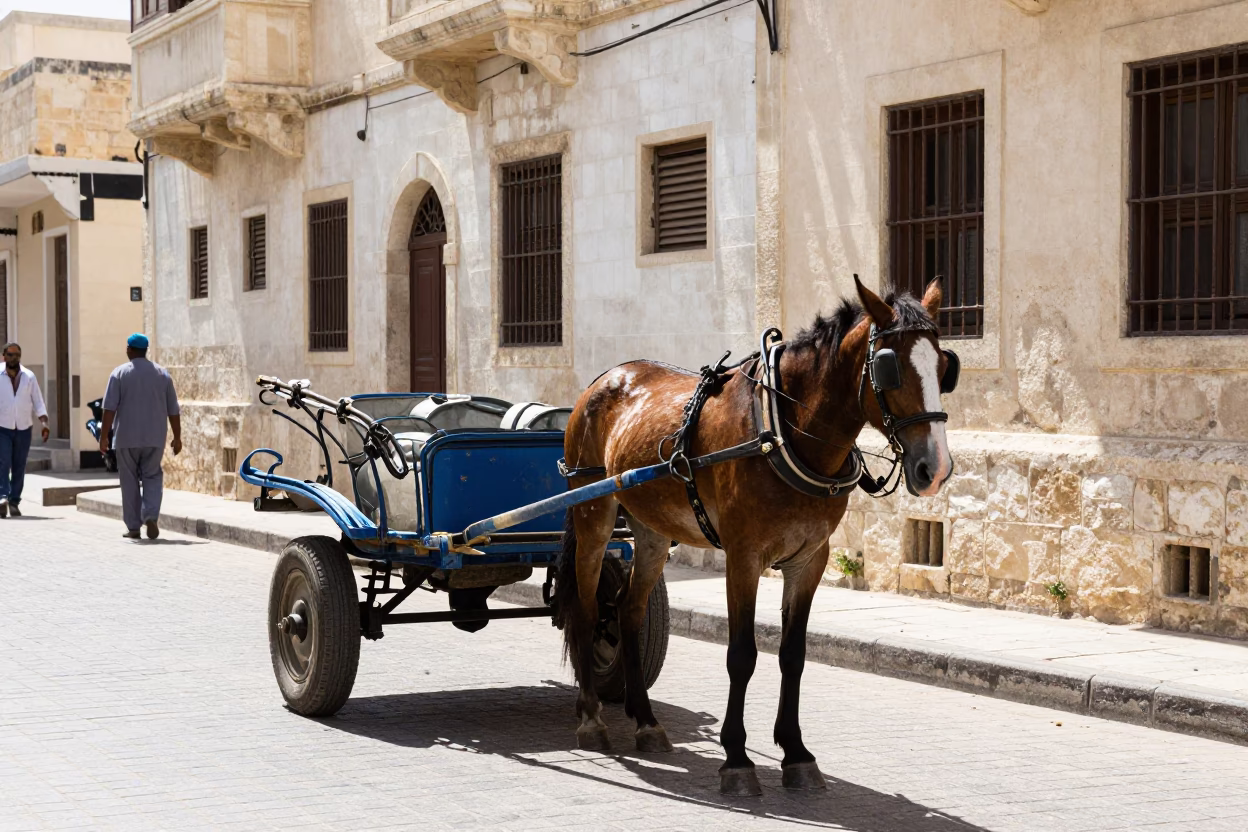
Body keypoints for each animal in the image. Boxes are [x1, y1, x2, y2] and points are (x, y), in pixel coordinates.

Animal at [552, 276, 957, 795]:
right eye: (890, 368)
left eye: (944, 366)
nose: (935, 468)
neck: (783, 431)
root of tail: (603, 380)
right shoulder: (743, 558)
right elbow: (742, 654)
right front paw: (737, 758)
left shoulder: (810, 561)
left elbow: (793, 655)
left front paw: (796, 752)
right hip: (593, 512)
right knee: (585, 608)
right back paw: (591, 718)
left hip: (652, 530)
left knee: (628, 611)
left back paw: (645, 721)